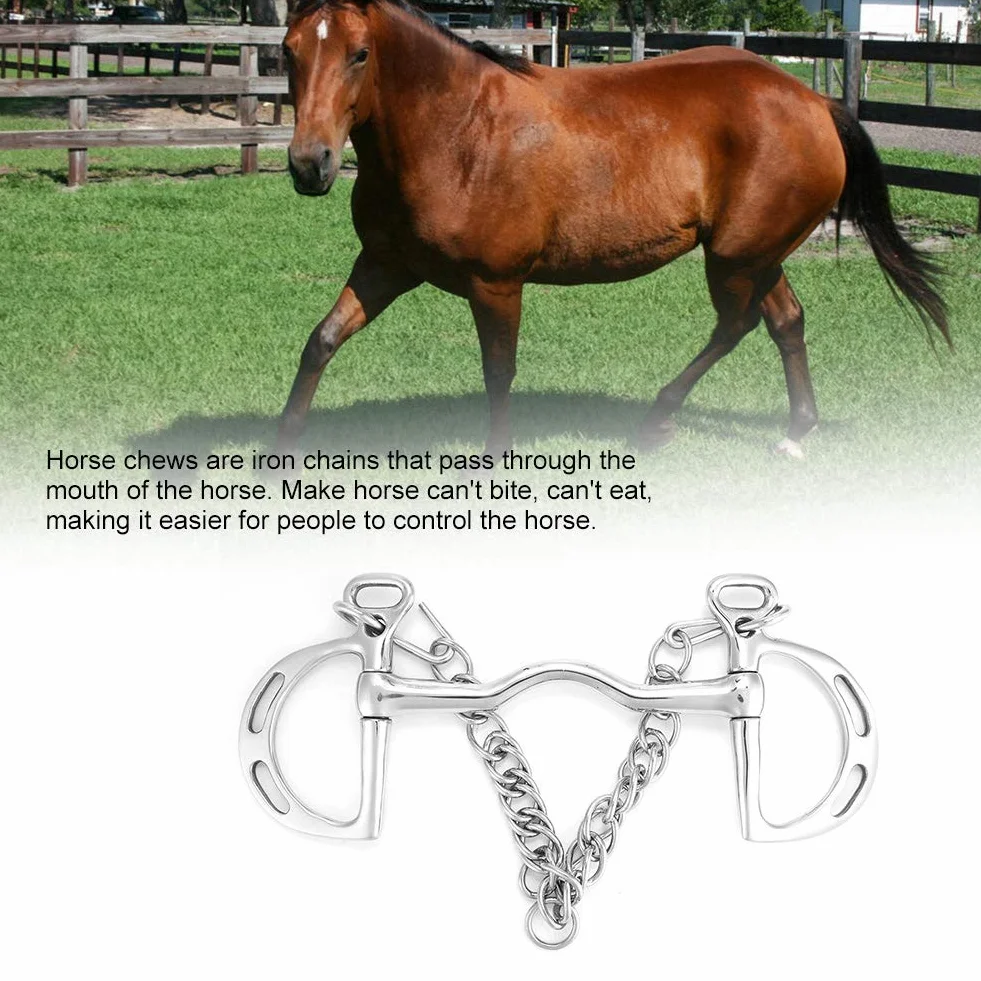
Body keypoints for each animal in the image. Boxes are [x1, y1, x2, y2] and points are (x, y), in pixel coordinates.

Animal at [278, 0, 948, 458]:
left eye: (360, 53)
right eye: (289, 50)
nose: (311, 165)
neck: (459, 131)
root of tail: (816, 104)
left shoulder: (495, 283)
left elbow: (499, 371)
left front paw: (496, 457)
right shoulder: (386, 265)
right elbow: (321, 339)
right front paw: (280, 448)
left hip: (735, 257)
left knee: (737, 325)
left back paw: (659, 417)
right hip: (759, 255)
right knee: (786, 322)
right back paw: (795, 432)